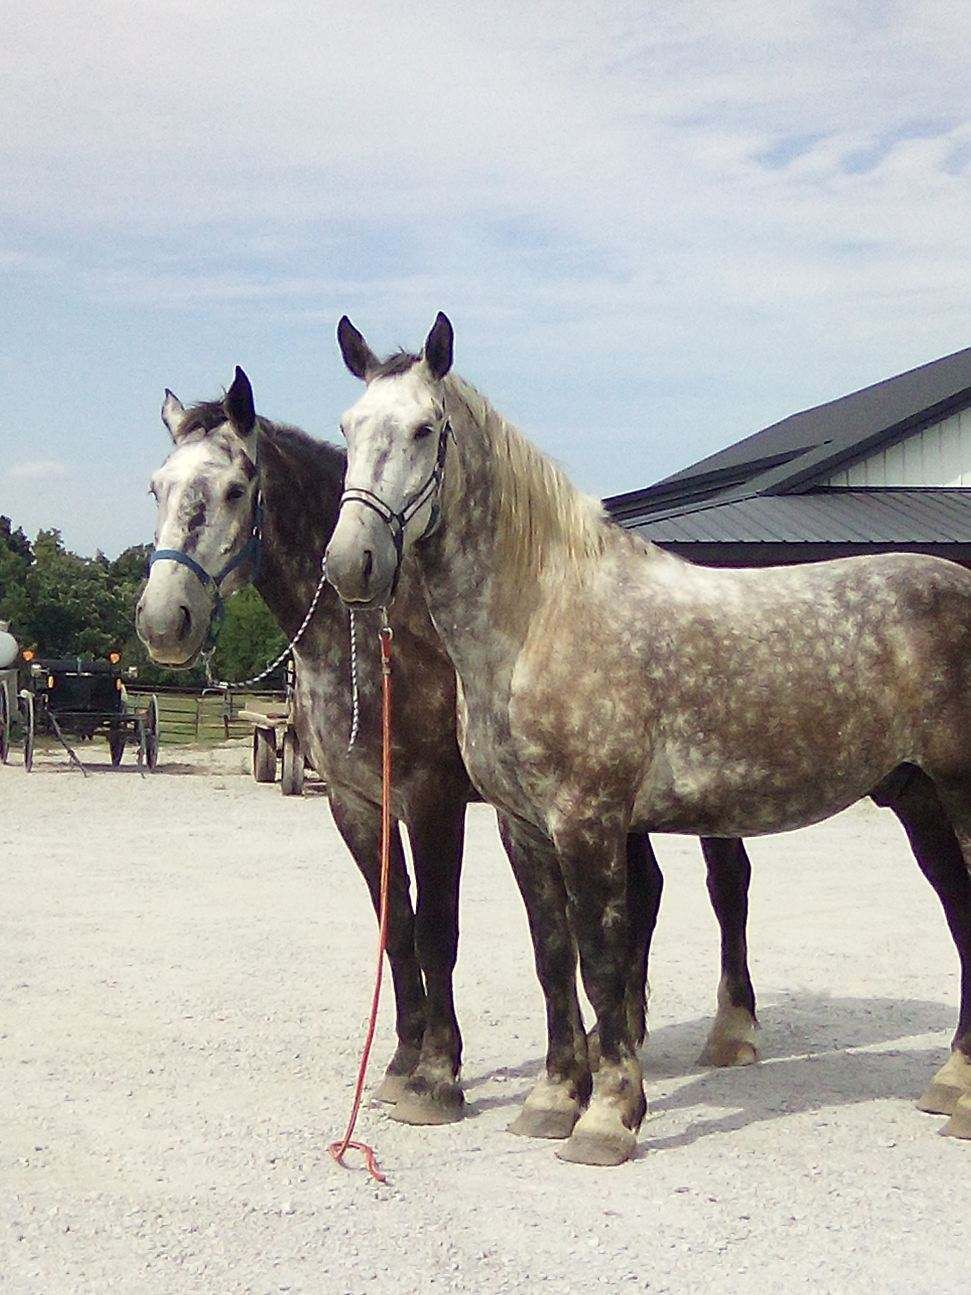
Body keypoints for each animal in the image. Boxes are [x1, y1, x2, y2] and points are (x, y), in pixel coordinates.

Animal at [134, 369, 764, 1131]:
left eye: (232, 489)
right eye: (158, 487)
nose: (164, 620)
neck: (382, 633)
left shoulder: (434, 800)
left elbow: (437, 929)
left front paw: (437, 1076)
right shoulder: (355, 803)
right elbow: (397, 928)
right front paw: (402, 1061)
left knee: (727, 886)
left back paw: (731, 1032)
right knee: (644, 891)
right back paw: (614, 1038)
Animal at [324, 312, 971, 1166]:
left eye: (425, 429)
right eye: (347, 427)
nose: (349, 562)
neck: (541, 616)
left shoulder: (587, 821)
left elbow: (602, 961)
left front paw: (606, 1119)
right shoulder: (521, 826)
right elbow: (552, 958)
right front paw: (551, 1100)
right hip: (919, 799)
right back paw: (951, 1083)